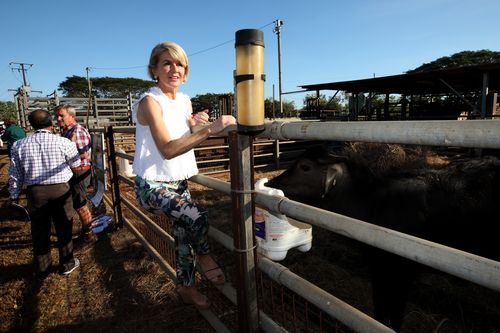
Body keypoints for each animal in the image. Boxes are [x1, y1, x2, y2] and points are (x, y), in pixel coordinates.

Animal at [266, 143, 500, 330]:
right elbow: (379, 305)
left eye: (305, 166)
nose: (272, 183)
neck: (373, 205)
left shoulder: (402, 271)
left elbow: (394, 311)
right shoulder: (378, 267)